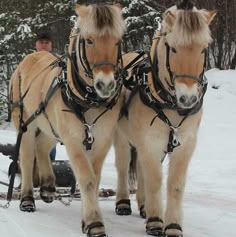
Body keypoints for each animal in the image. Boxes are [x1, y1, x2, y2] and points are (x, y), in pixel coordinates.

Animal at [9, 3, 125, 237]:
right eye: (89, 40)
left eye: (117, 40)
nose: (106, 85)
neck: (89, 99)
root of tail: (28, 60)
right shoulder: (73, 140)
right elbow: (87, 179)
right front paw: (94, 223)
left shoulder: (102, 140)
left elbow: (94, 179)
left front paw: (86, 219)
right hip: (25, 124)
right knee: (26, 158)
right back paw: (27, 199)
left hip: (50, 125)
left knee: (42, 146)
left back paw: (47, 188)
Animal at [114, 1, 216, 237]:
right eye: (174, 48)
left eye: (203, 49)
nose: (188, 98)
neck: (169, 103)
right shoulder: (150, 141)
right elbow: (155, 181)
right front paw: (155, 222)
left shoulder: (185, 144)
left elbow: (174, 185)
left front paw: (172, 225)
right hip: (122, 137)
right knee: (123, 165)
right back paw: (123, 203)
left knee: (140, 167)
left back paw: (143, 205)